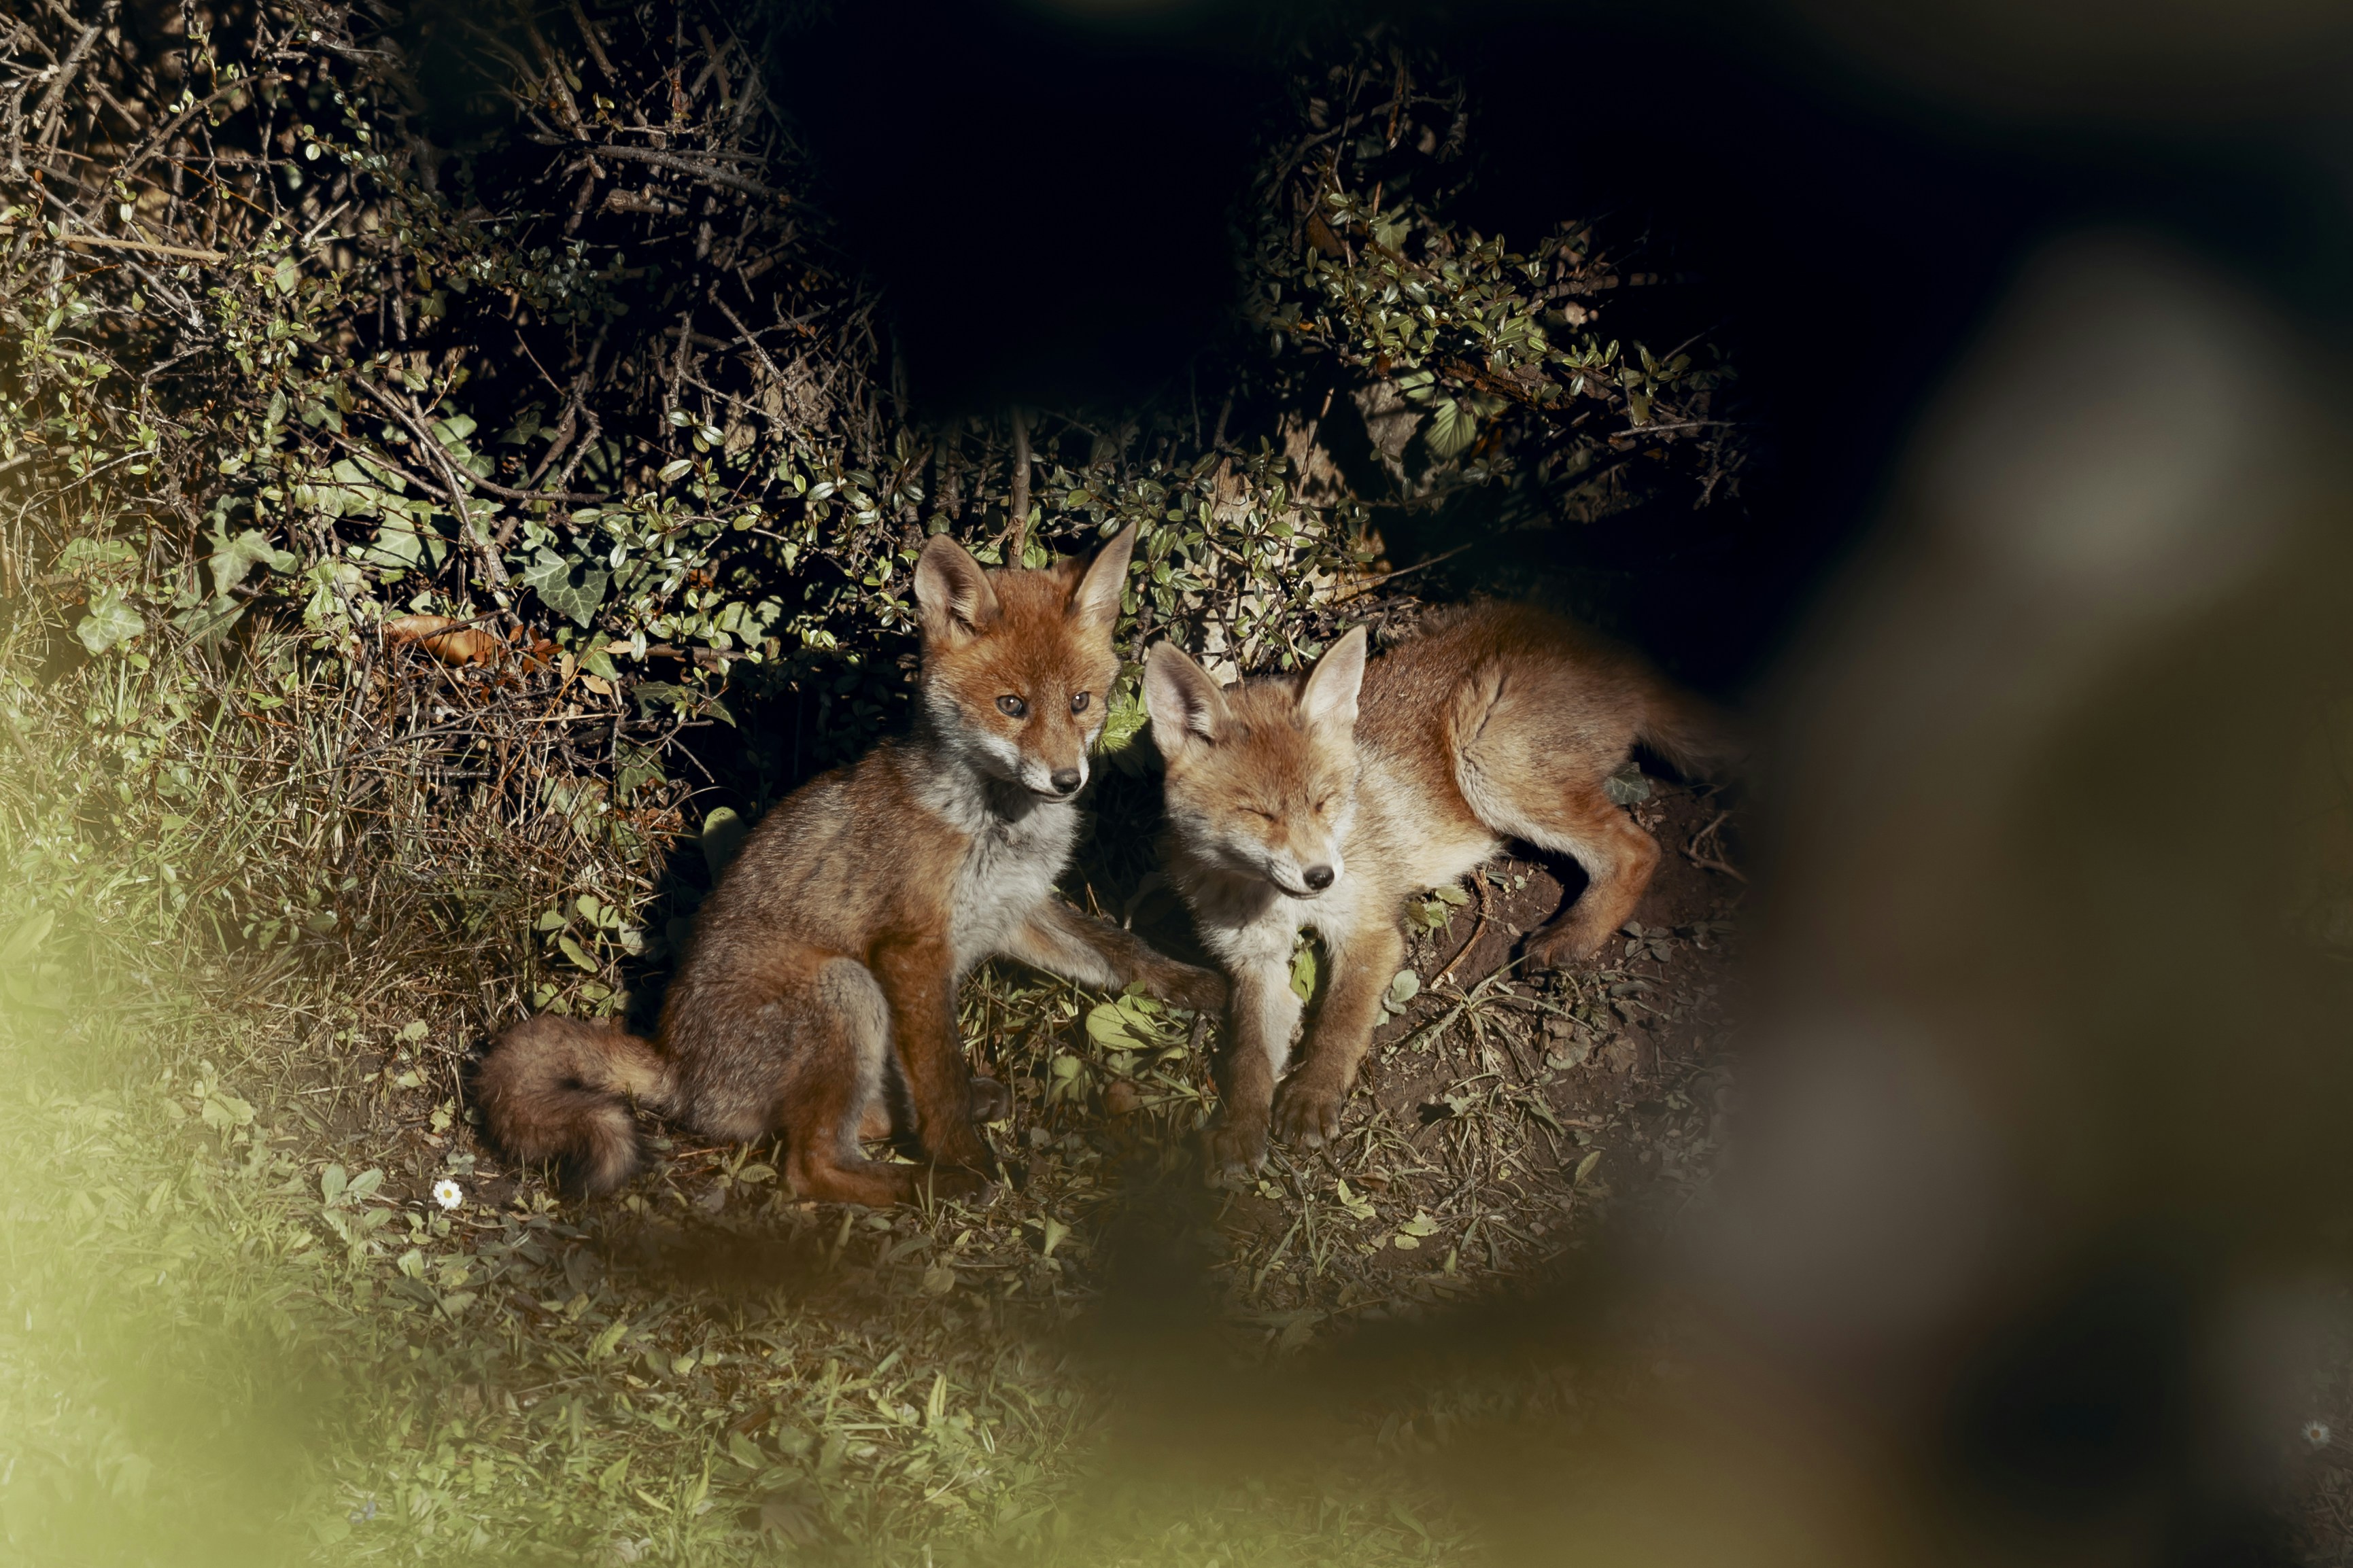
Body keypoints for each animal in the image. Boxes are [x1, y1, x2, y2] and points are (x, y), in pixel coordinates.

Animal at [479, 523, 1227, 1206]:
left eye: (1080, 702)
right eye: (1011, 706)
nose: (1068, 780)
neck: (990, 826)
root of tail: (675, 1066)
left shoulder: (1015, 911)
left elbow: (1121, 953)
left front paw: (1195, 984)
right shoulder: (911, 950)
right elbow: (941, 1077)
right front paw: (965, 1156)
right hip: (849, 991)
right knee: (809, 1165)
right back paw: (933, 1184)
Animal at [1142, 601, 1732, 1179]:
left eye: (1323, 801)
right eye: (1258, 814)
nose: (1321, 876)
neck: (1274, 902)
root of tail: (1603, 640)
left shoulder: (1371, 931)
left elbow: (1338, 1024)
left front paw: (1312, 1095)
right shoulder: (1254, 962)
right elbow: (1247, 1057)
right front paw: (1239, 1128)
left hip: (1486, 761)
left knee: (1638, 849)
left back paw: (1572, 937)